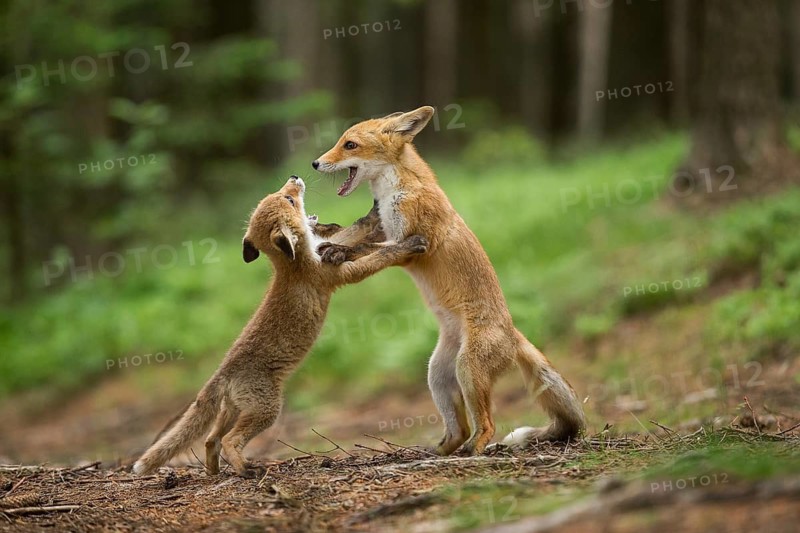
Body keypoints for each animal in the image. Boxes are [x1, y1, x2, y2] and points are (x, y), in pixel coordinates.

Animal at [133, 176, 427, 478]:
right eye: (289, 199)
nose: (294, 177)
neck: (295, 263)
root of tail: (223, 372)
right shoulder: (340, 274)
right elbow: (380, 257)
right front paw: (408, 245)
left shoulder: (325, 245)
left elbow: (355, 230)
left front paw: (373, 212)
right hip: (267, 409)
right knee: (229, 441)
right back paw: (246, 470)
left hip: (235, 410)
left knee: (210, 439)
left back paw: (214, 472)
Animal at [311, 107, 586, 456]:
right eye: (340, 142)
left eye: (349, 145)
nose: (315, 163)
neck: (396, 191)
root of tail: (513, 333)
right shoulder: (383, 228)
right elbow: (357, 236)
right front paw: (321, 236)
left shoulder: (410, 244)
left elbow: (368, 249)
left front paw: (339, 250)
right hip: (439, 375)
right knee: (459, 430)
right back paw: (435, 452)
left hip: (468, 370)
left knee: (487, 426)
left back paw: (473, 452)